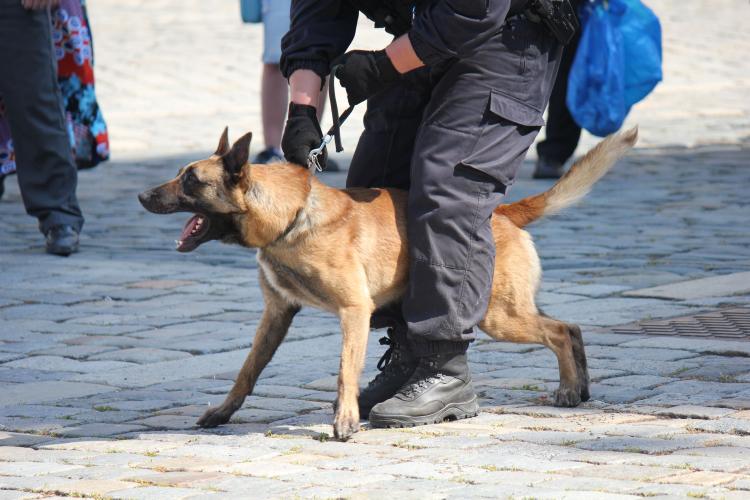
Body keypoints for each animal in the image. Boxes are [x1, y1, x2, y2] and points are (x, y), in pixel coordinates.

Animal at [140, 127, 640, 440]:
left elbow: (344, 371)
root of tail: (501, 211)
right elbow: (247, 371)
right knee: (570, 327)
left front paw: (344, 422)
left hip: (500, 317)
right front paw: (223, 413)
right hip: (506, 310)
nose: (142, 196)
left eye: (190, 180)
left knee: (558, 331)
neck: (292, 216)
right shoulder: (277, 314)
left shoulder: (353, 312)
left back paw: (569, 389)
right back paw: (581, 387)